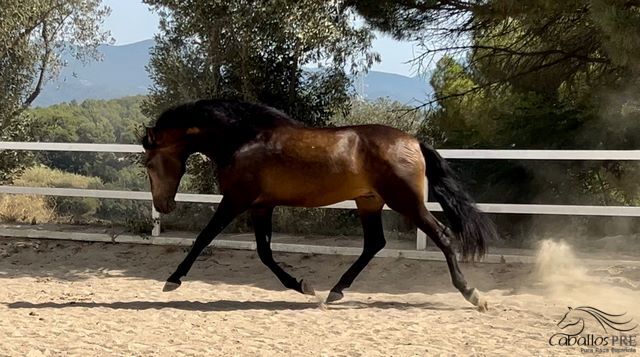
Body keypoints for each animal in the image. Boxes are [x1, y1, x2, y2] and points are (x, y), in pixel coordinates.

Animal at [142, 98, 498, 308]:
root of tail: (414, 142)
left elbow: (204, 238)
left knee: (442, 236)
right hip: (369, 202)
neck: (243, 139)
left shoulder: (236, 200)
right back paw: (335, 291)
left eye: (148, 164)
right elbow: (264, 252)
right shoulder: (261, 206)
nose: (163, 205)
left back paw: (472, 294)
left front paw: (172, 281)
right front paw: (302, 286)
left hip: (406, 202)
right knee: (374, 243)